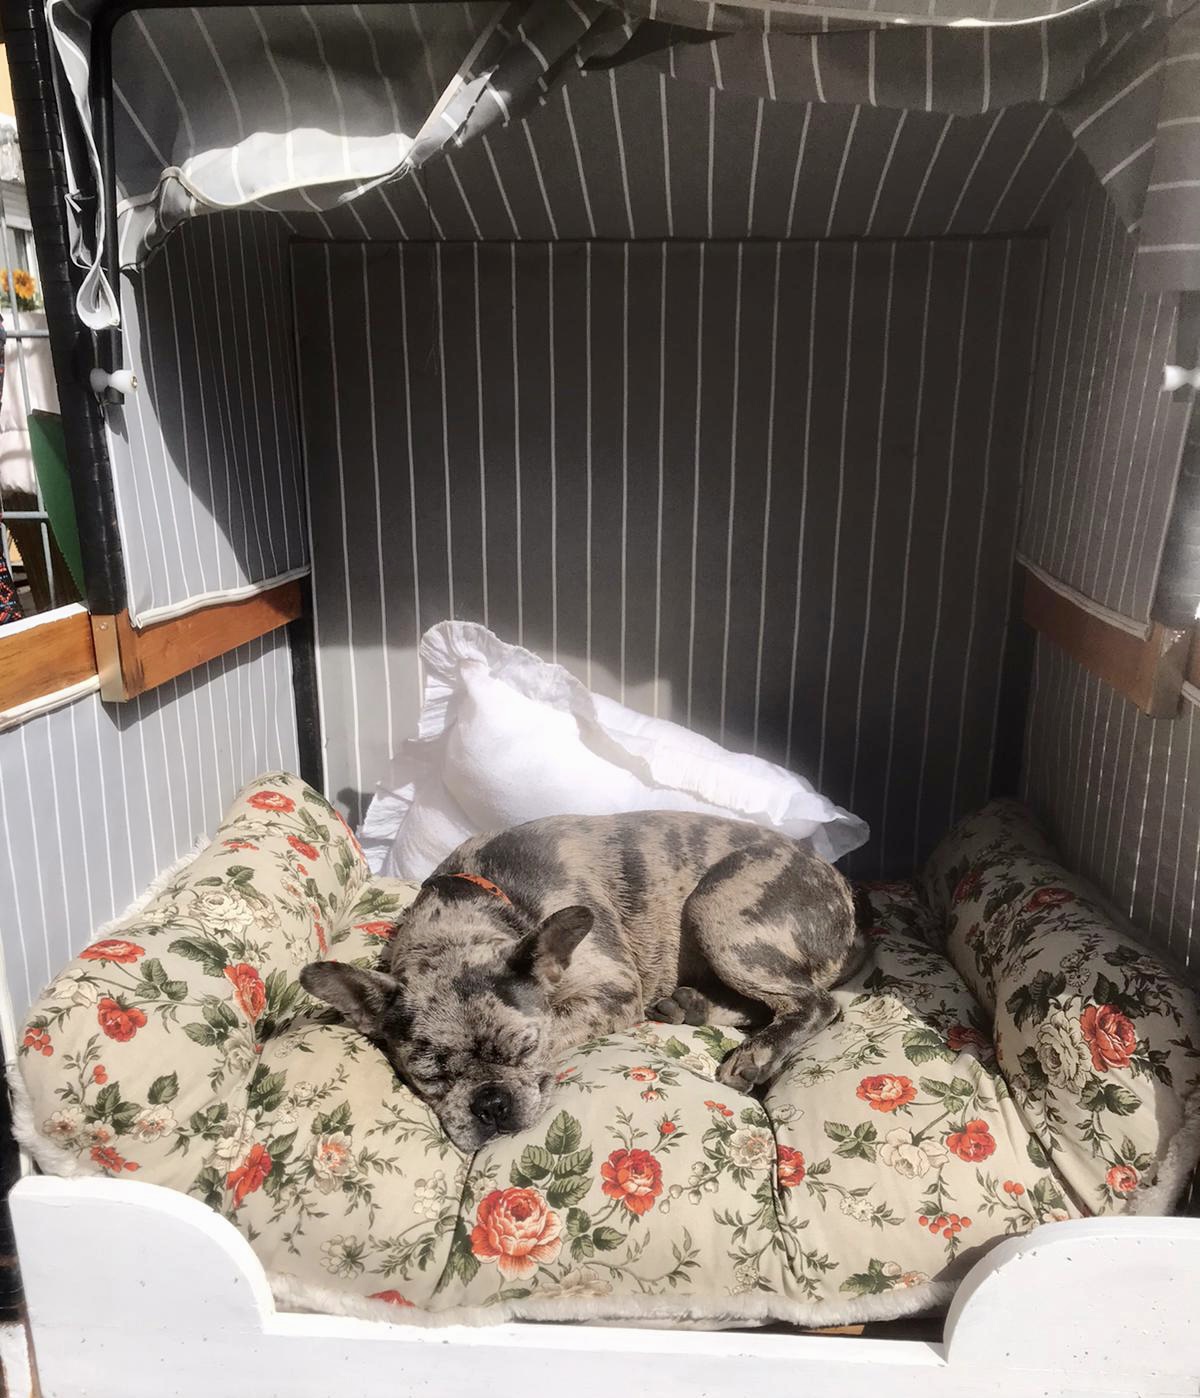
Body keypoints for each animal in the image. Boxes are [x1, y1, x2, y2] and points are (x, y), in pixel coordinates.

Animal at [301, 811, 866, 1152]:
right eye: (430, 1076)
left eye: (525, 1049)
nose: (490, 1104)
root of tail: (844, 894)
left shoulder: (612, 988)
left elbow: (560, 1020)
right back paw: (687, 1006)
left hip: (718, 912)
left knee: (813, 1002)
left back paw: (756, 1053)